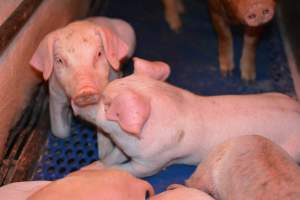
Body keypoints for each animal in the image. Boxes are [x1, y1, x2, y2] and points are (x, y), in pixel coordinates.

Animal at [29, 16, 135, 159]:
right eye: (59, 60)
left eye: (99, 53)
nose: (86, 90)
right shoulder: (55, 94)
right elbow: (59, 131)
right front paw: (69, 117)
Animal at [72, 57, 300, 177]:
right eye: (108, 86)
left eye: (108, 106)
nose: (77, 99)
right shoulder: (124, 148)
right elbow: (112, 158)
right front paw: (91, 166)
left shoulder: (153, 161)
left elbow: (126, 170)